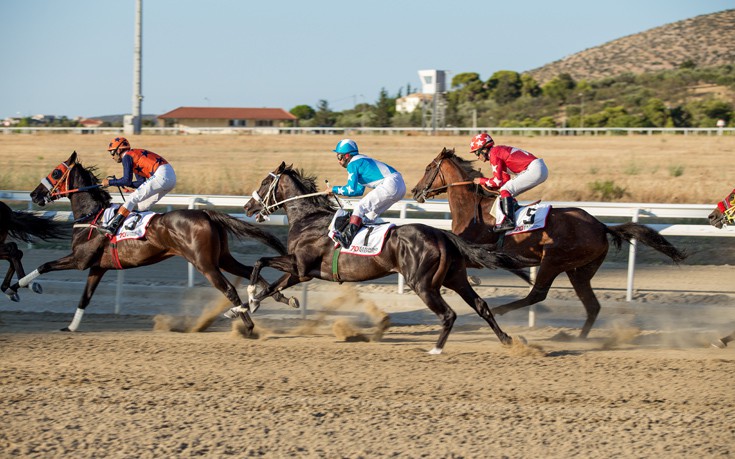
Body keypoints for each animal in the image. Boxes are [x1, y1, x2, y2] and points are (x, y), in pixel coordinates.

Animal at [4, 153, 296, 332]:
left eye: (55, 172)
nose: (34, 195)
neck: (92, 216)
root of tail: (205, 213)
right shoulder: (97, 267)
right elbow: (84, 298)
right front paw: (71, 326)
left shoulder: (79, 260)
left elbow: (44, 266)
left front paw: (18, 287)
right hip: (221, 256)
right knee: (248, 271)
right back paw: (274, 297)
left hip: (204, 263)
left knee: (229, 290)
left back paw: (247, 324)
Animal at [236, 163, 528, 356]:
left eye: (264, 183)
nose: (248, 207)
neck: (308, 218)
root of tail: (442, 234)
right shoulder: (300, 271)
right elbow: (272, 286)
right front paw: (245, 307)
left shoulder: (300, 266)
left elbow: (260, 262)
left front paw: (249, 296)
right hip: (455, 277)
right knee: (481, 305)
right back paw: (507, 340)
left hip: (423, 284)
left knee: (448, 314)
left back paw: (435, 349)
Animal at [412, 149, 688, 340]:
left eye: (428, 168)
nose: (415, 191)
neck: (473, 208)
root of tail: (601, 226)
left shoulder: (477, 250)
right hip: (579, 270)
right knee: (592, 305)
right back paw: (576, 338)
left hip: (554, 260)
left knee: (538, 294)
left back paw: (503, 310)